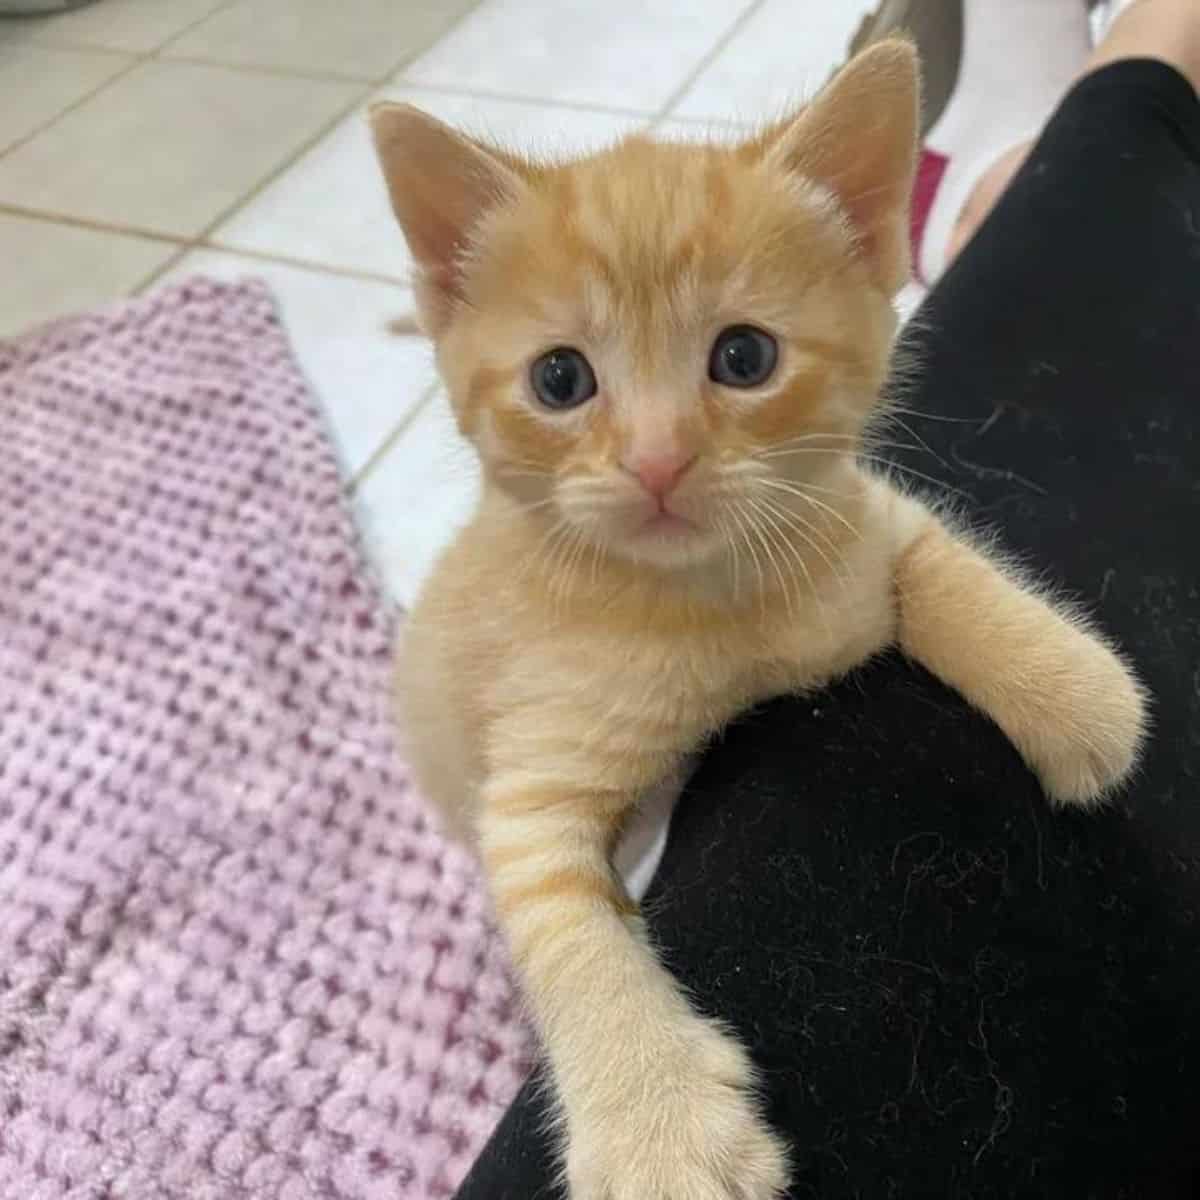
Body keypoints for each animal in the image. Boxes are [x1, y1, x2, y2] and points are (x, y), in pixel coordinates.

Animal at [372, 39, 1142, 1200]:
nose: (657, 460)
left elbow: (936, 564)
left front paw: (1073, 692)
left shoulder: (855, 523)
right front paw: (658, 1129)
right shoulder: (528, 792)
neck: (712, 600)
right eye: (560, 378)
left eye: (744, 358)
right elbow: (566, 925)